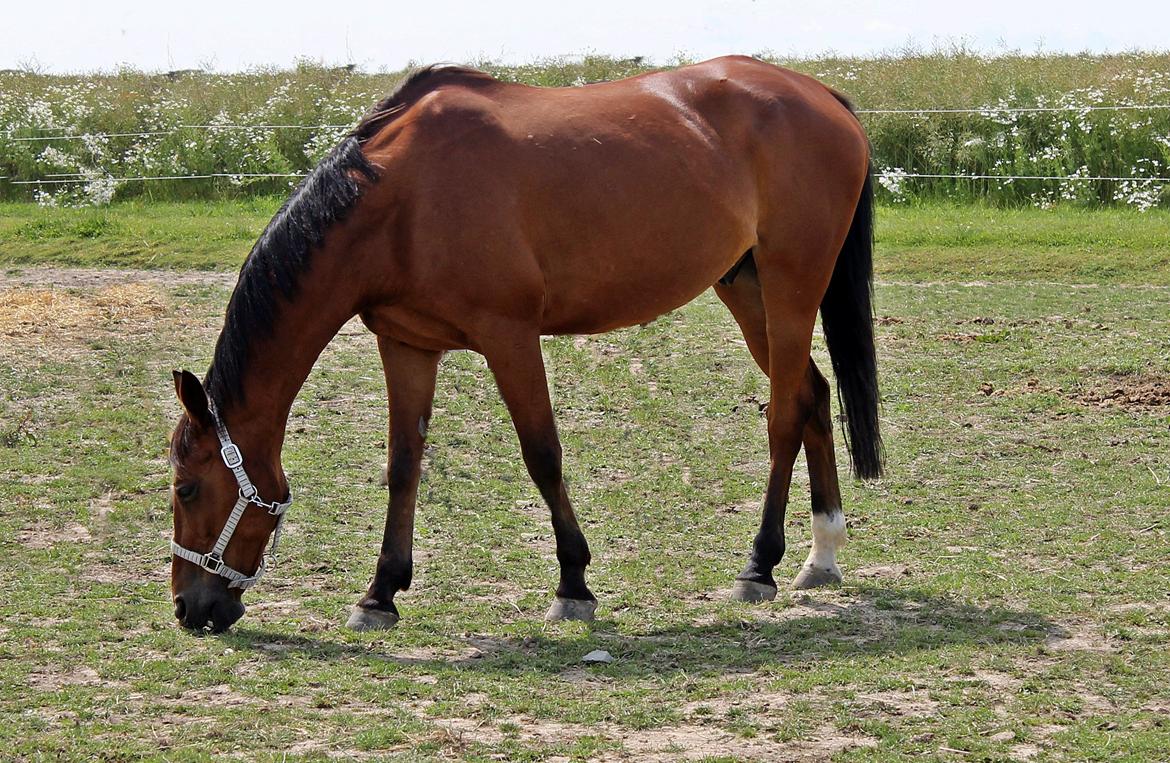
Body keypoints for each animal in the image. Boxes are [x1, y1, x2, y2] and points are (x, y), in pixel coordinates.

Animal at [164, 56, 879, 636]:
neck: (404, 196)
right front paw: (380, 594)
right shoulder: (405, 344)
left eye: (188, 490)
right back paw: (822, 555)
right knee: (813, 395)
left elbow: (542, 454)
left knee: (785, 413)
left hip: (791, 283)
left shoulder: (509, 337)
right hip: (745, 286)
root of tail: (820, 94)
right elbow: (404, 465)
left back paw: (760, 565)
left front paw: (573, 585)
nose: (190, 609)